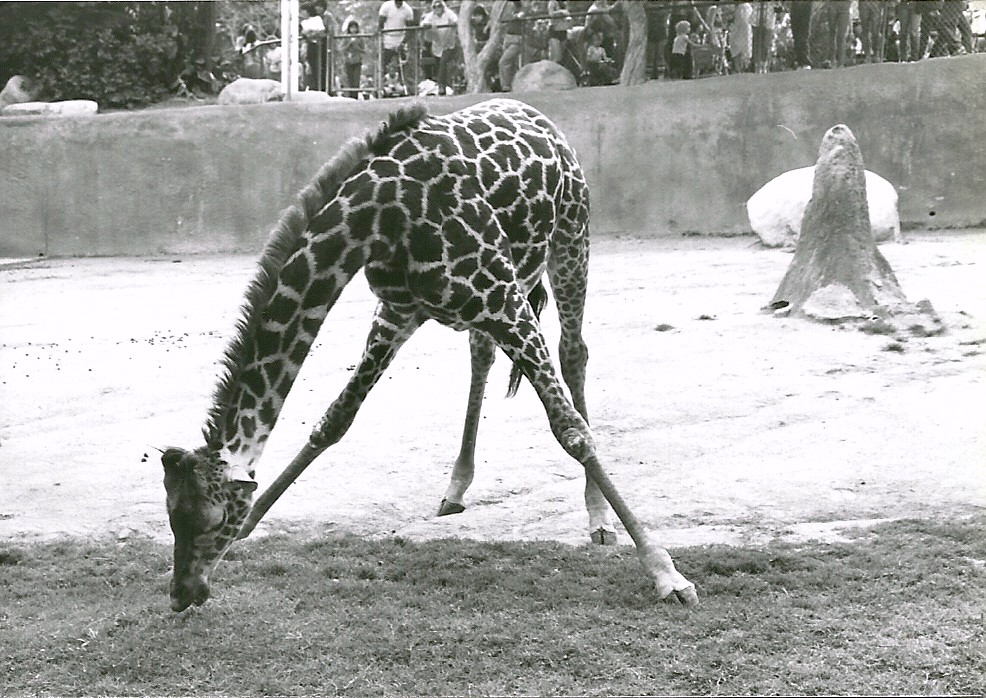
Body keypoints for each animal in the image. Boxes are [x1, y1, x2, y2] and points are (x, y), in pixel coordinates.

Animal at [160, 98, 698, 612]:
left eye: (211, 517)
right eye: (170, 515)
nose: (182, 592)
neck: (379, 219)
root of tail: (542, 118)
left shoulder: (502, 298)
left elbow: (572, 432)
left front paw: (666, 574)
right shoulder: (400, 312)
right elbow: (335, 420)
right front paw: (256, 521)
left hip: (569, 243)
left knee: (574, 352)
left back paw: (597, 517)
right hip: (501, 289)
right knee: (482, 355)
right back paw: (456, 488)